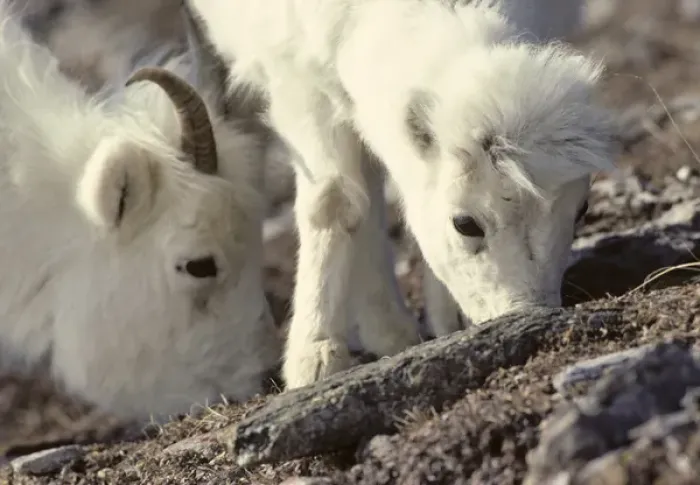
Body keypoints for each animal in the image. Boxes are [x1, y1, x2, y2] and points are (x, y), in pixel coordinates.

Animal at [186, 0, 617, 389]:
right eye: (465, 224)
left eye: (582, 210)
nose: (529, 314)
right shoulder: (299, 81)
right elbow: (333, 201)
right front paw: (315, 360)